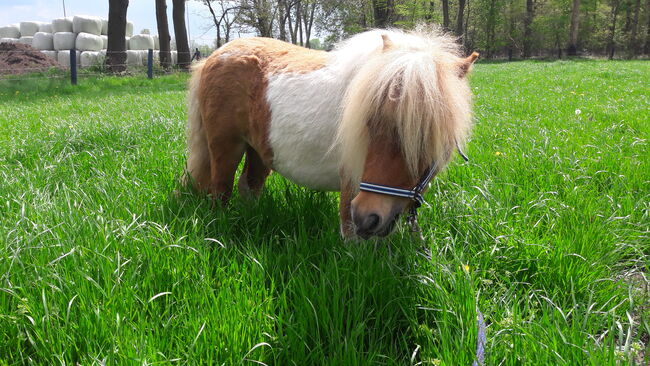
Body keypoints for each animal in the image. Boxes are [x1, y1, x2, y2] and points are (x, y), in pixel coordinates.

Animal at [184, 29, 476, 240]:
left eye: (426, 137)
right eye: (368, 123)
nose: (368, 216)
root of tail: (215, 55)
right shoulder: (351, 186)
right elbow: (351, 235)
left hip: (258, 150)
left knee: (249, 186)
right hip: (226, 148)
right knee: (221, 192)